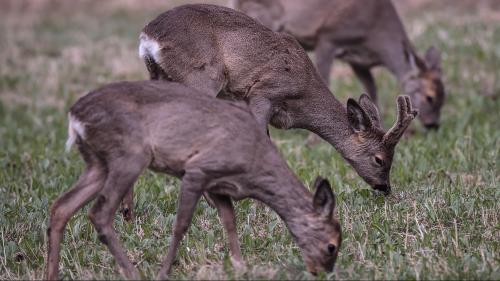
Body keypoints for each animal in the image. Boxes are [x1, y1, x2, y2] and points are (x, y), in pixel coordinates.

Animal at [46, 80, 344, 278]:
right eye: (332, 246)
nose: (321, 273)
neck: (254, 165)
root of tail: (74, 116)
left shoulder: (218, 186)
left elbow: (230, 221)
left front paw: (240, 265)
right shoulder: (198, 169)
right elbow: (181, 224)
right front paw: (164, 272)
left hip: (98, 163)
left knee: (61, 206)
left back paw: (52, 274)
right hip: (129, 154)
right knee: (99, 213)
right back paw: (134, 273)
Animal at [232, 0, 444, 129]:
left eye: (444, 98)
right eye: (430, 97)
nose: (433, 125)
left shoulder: (357, 61)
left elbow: (371, 90)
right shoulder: (328, 36)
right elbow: (326, 81)